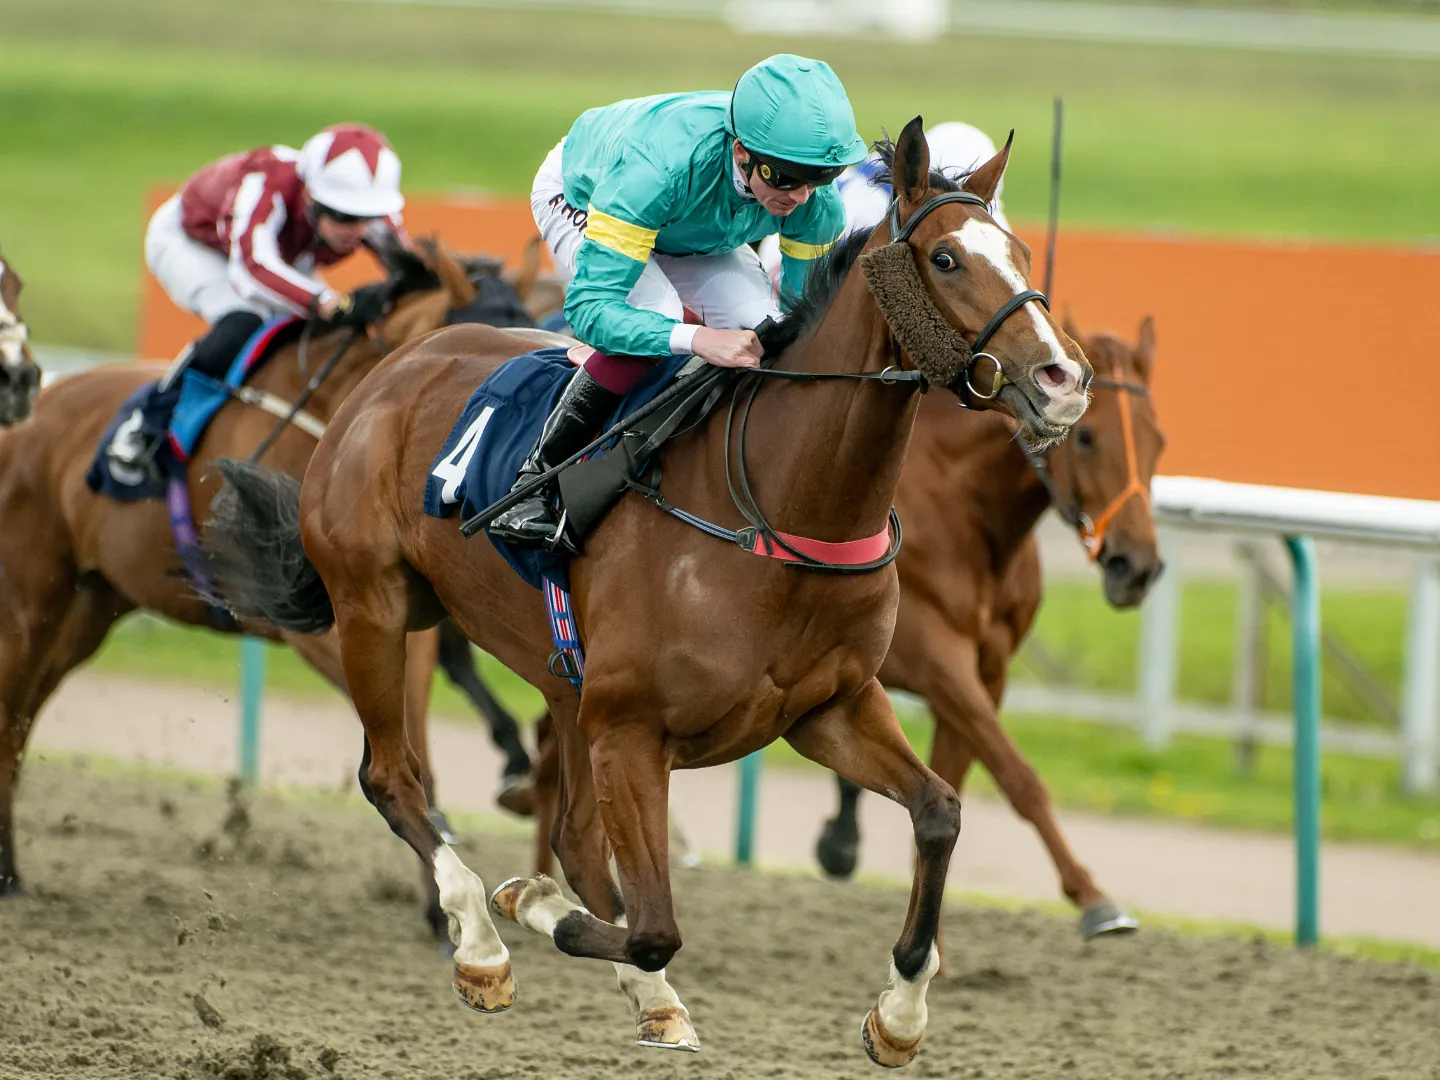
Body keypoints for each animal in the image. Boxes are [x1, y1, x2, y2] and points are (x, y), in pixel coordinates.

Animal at [0, 240, 547, 930]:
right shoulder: (319, 621)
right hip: (31, 601)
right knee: (8, 715)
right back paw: (6, 872)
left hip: (87, 608)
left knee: (22, 719)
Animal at [200, 118, 1091, 1064]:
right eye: (947, 258)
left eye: (1019, 249)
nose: (1063, 379)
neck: (774, 504)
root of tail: (390, 371)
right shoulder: (632, 732)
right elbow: (654, 921)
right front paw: (533, 905)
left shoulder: (831, 709)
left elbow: (939, 812)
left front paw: (900, 1014)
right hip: (375, 608)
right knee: (394, 778)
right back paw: (480, 943)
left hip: (560, 678)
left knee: (571, 832)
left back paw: (641, 994)